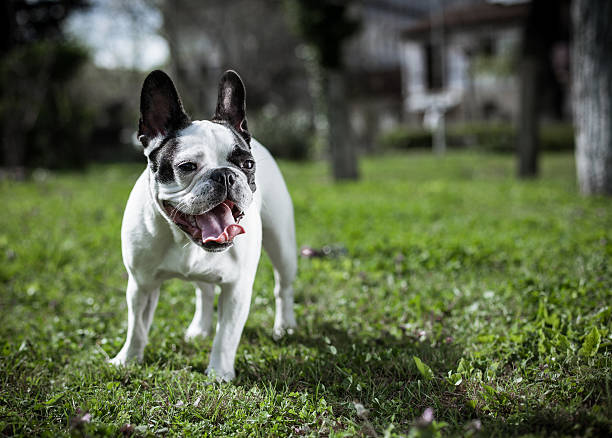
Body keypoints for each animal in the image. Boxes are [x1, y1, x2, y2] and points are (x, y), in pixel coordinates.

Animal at [112, 69, 298, 380]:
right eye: (187, 166)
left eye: (247, 165)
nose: (224, 174)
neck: (183, 240)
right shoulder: (141, 284)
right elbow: (136, 326)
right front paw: (127, 359)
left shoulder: (237, 288)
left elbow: (227, 336)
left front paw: (219, 374)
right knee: (204, 290)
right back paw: (199, 329)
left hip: (282, 246)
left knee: (282, 287)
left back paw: (285, 327)